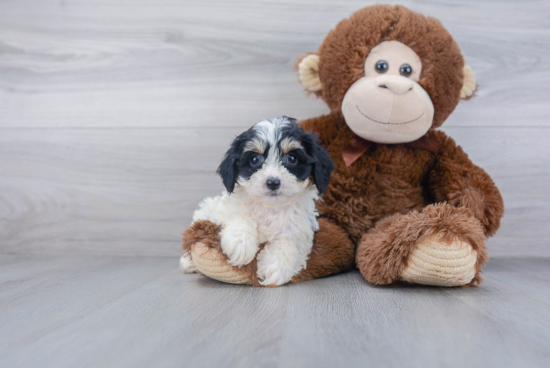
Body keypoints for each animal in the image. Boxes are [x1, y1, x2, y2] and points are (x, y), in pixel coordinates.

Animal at [181, 116, 334, 286]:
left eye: (292, 158)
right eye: (254, 159)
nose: (273, 182)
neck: (271, 207)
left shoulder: (303, 227)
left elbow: (291, 240)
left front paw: (276, 267)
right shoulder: (225, 209)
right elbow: (239, 215)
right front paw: (240, 244)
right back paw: (188, 263)